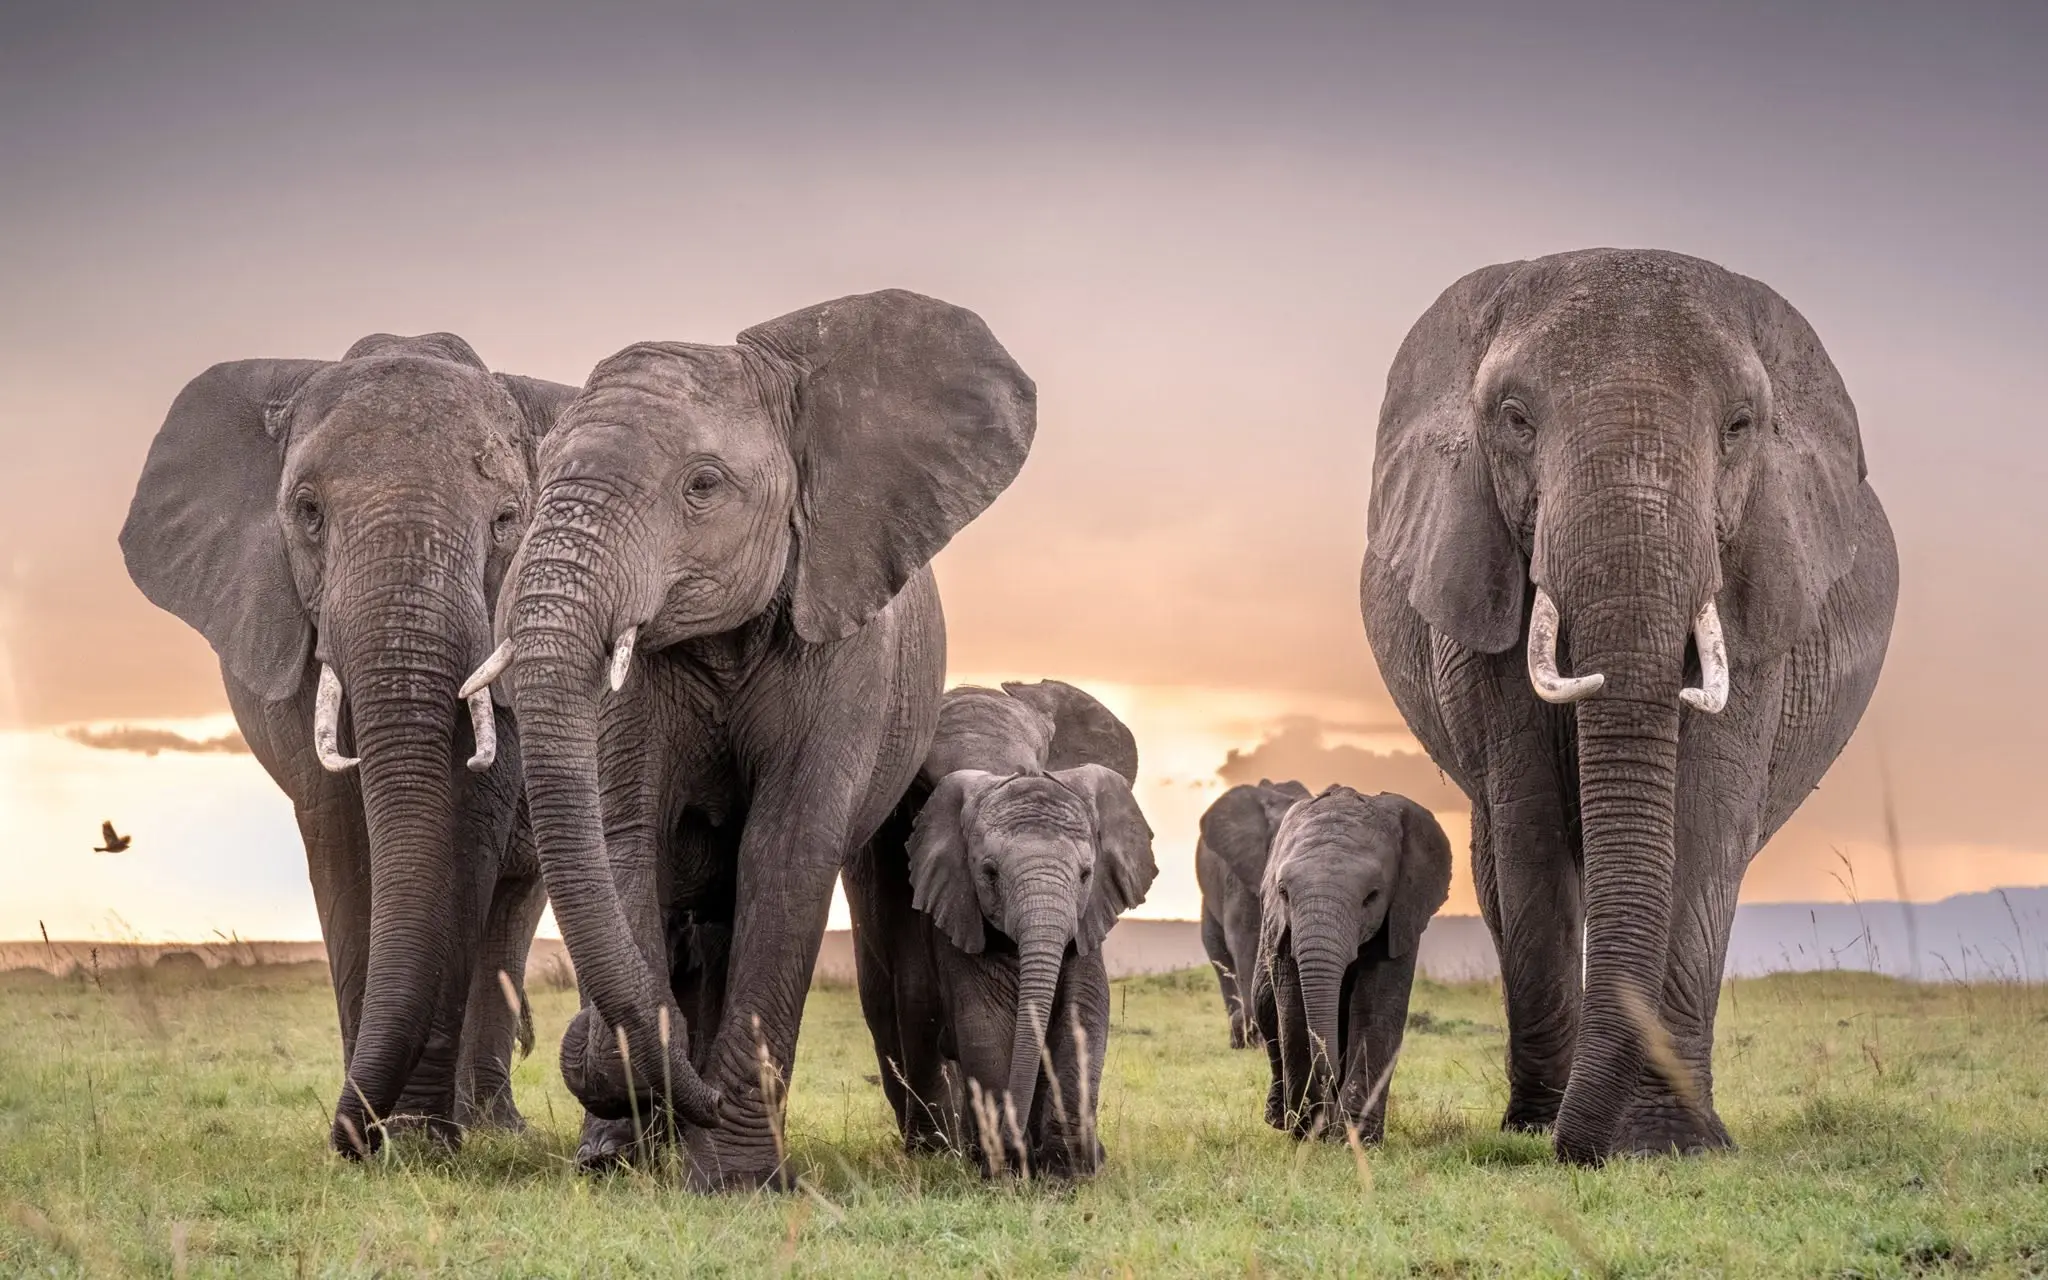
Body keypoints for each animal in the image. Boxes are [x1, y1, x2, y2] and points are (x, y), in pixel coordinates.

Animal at [119, 334, 579, 1154]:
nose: (350, 1134)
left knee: (513, 906)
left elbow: (468, 826)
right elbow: (335, 826)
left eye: (507, 520)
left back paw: (493, 1130)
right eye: (308, 513)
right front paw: (380, 1137)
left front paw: (419, 1140)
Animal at [459, 290, 1035, 1185]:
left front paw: (736, 1178)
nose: (567, 1041)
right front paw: (640, 1139)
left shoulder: (847, 642)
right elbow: (627, 834)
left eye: (703, 485)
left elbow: (786, 848)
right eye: (538, 479)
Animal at [846, 680, 1152, 1177]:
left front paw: (1071, 1169)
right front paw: (1006, 1166)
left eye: (1085, 874)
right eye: (923, 790)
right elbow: (982, 1014)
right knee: (898, 1014)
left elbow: (1085, 1005)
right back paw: (939, 1151)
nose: (1016, 1146)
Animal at [1249, 786, 1451, 1143]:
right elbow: (1293, 1013)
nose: (1330, 1078)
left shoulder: (1400, 918)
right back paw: (1281, 1119)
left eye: (1371, 897)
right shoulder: (1282, 930)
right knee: (1267, 1013)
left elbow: (1375, 1009)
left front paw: (1354, 1141)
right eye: (1283, 892)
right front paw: (1309, 1135)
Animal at [1359, 249, 1898, 1163]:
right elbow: (1531, 824)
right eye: (1514, 420)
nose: (1576, 1151)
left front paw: (1671, 1143)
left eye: (1740, 427)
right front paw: (1549, 1131)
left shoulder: (1758, 599)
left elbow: (1706, 820)